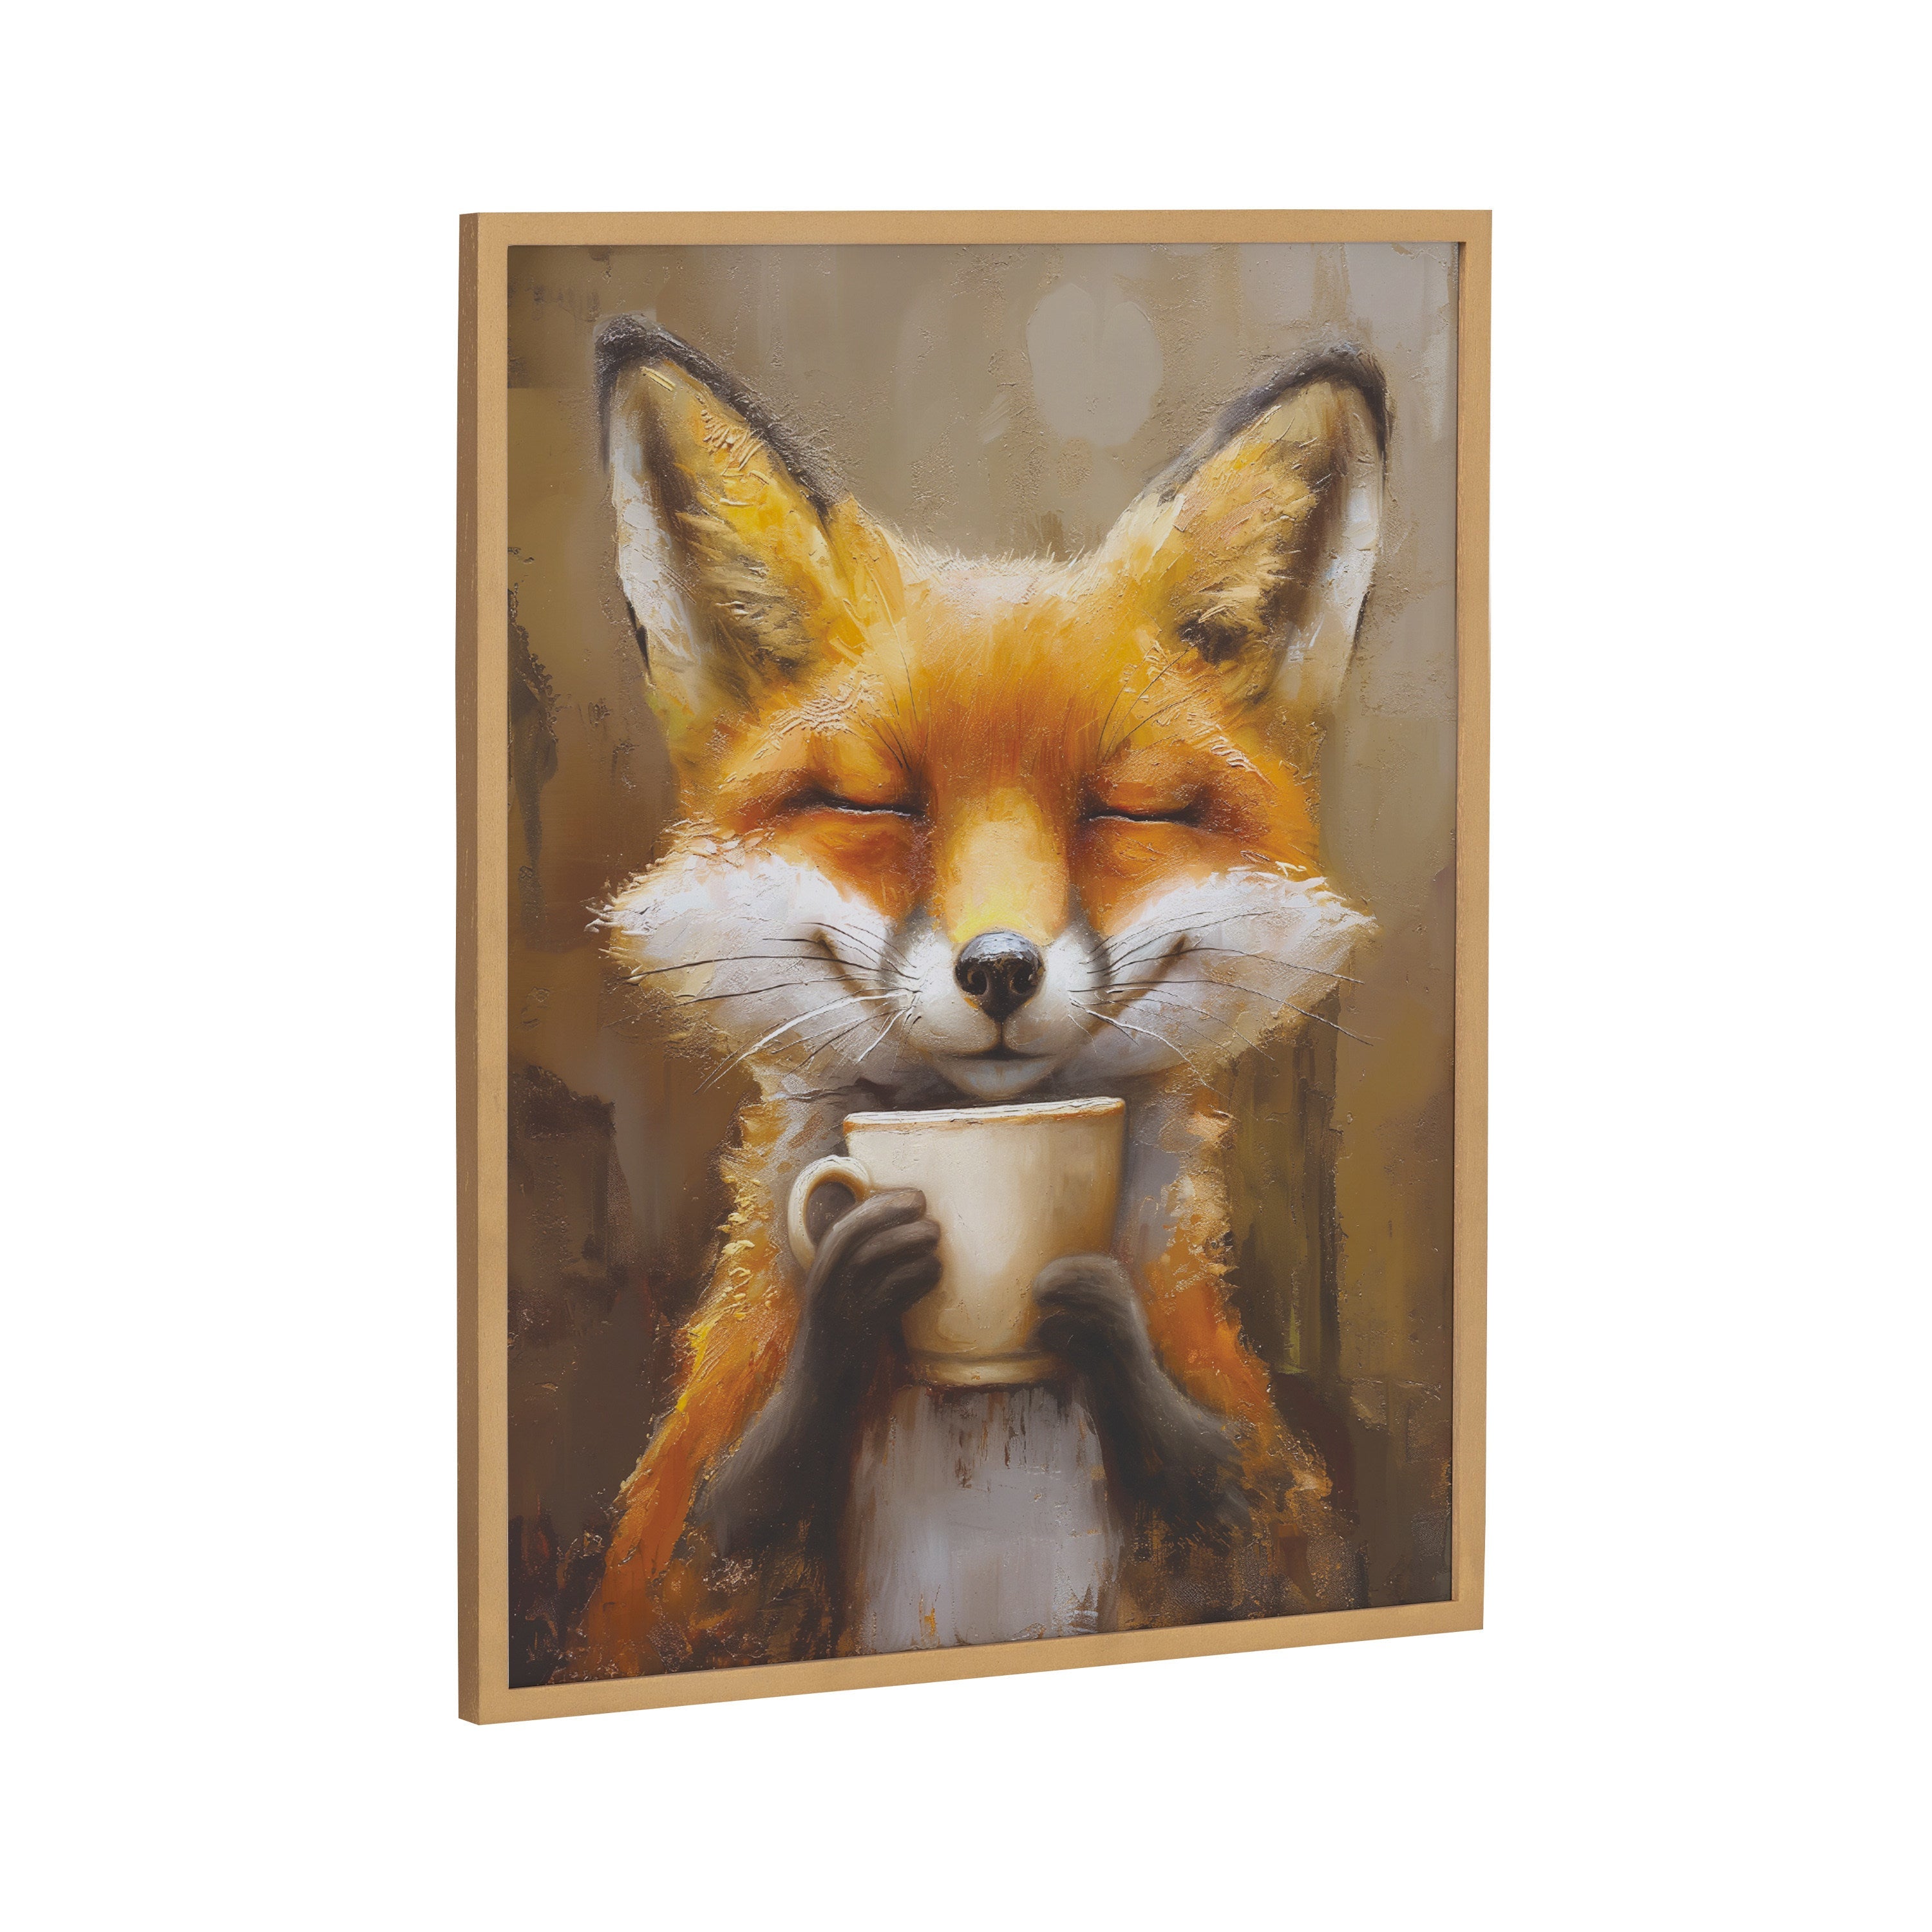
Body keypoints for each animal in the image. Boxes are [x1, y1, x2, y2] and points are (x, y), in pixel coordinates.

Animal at [564, 317, 1388, 1678]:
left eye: (1126, 810)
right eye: (876, 803)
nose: (999, 969)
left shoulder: (1275, 1541)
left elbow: (1239, 1514)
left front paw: (1101, 1318)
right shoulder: (662, 1589)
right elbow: (710, 1551)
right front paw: (850, 1297)